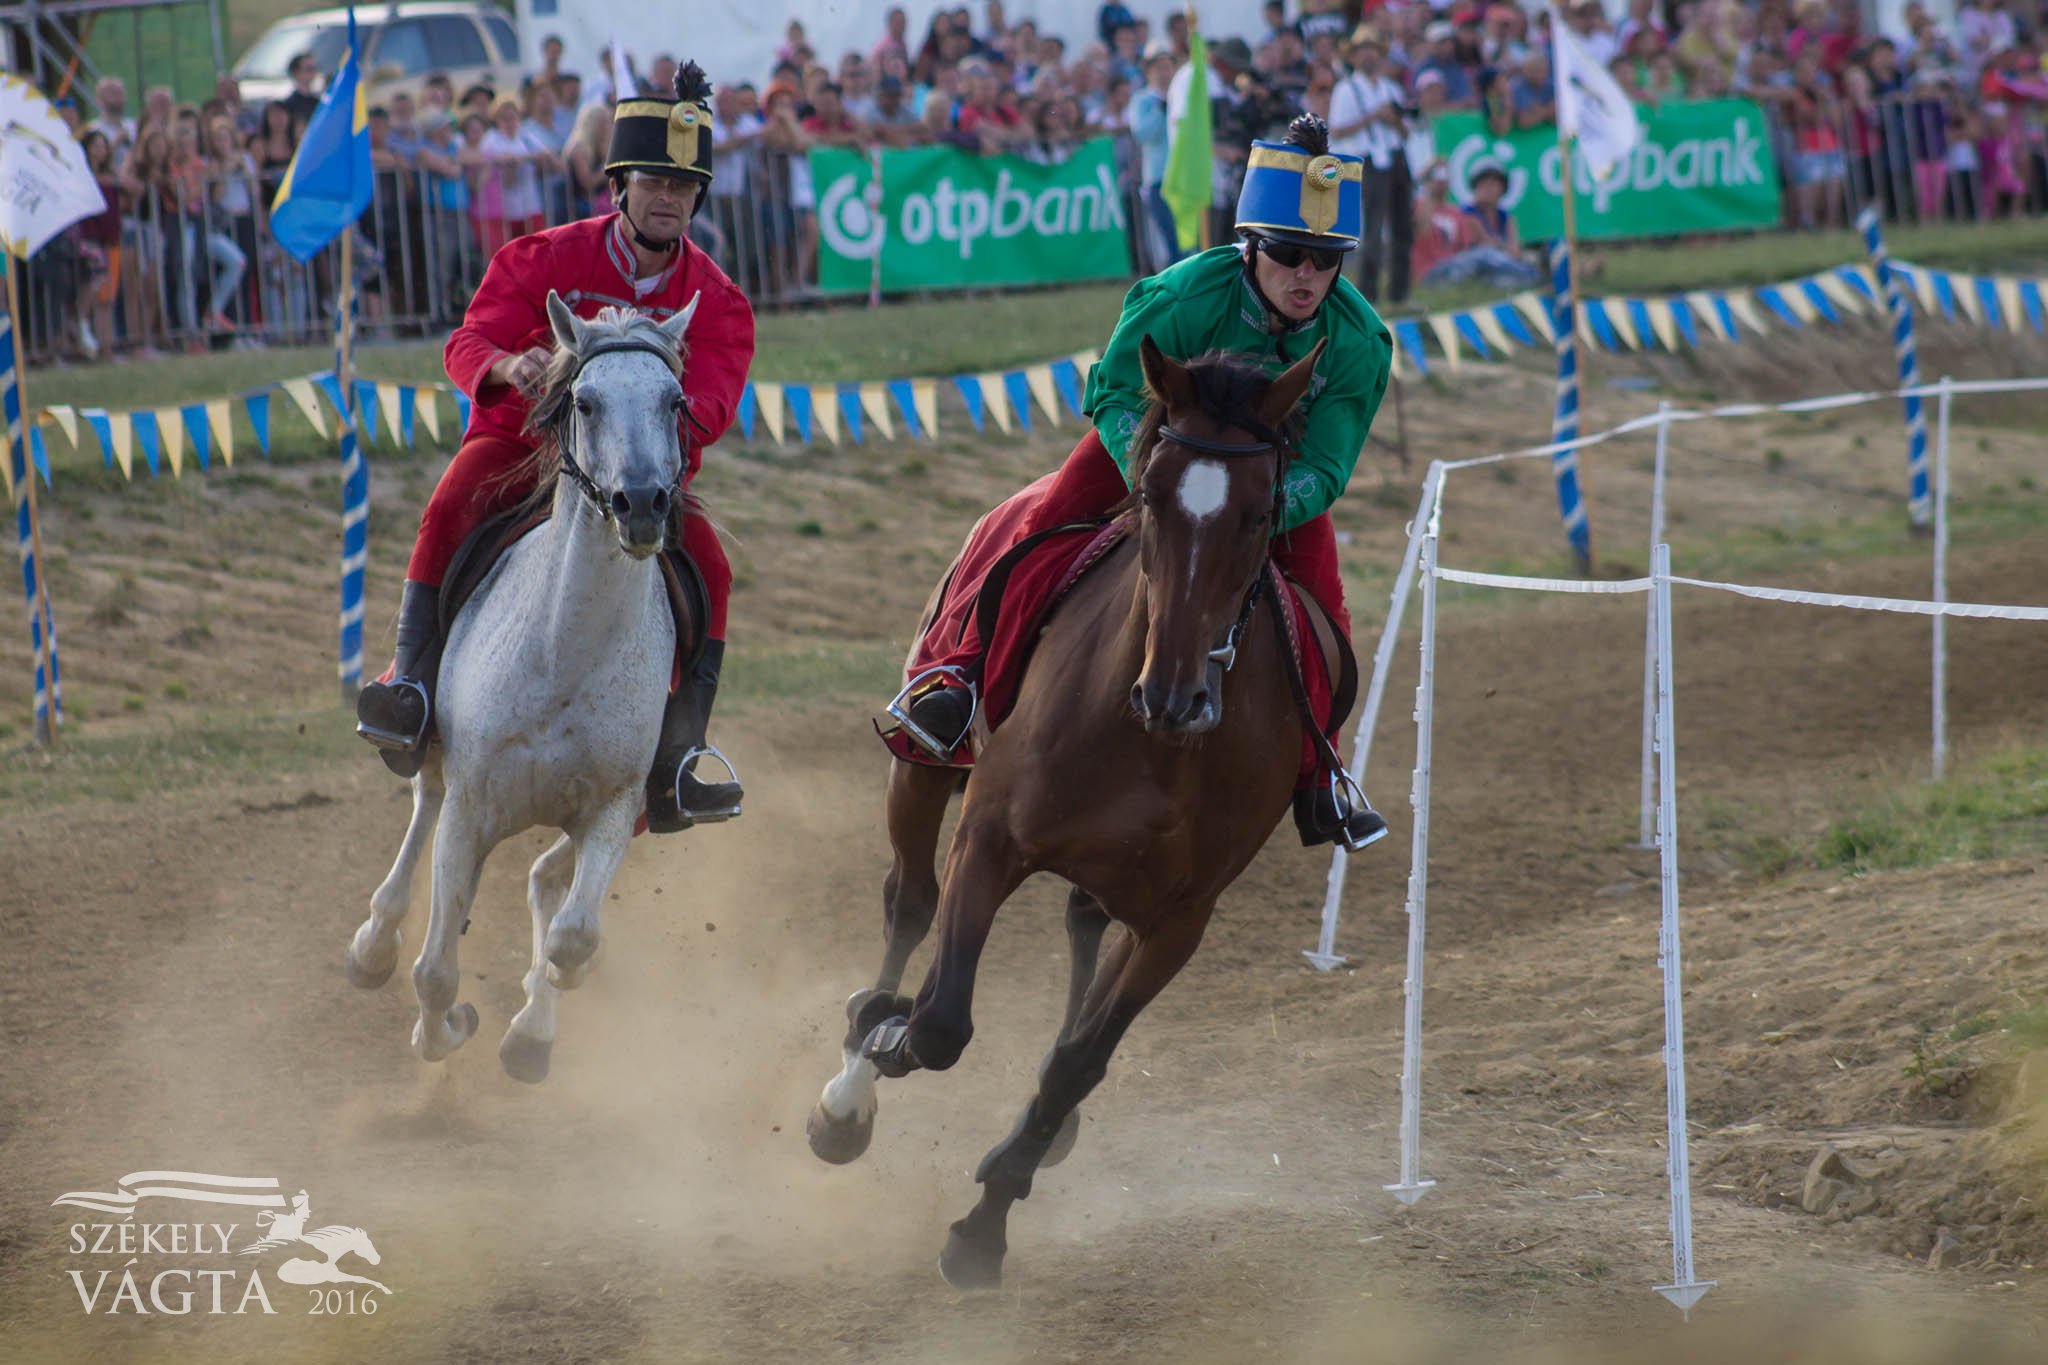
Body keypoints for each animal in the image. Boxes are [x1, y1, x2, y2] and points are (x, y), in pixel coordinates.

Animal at [348, 294, 700, 1080]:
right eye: (587, 402)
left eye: (675, 401)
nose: (641, 503)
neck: (564, 650)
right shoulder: (472, 809)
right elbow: (436, 970)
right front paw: (446, 1027)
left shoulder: (612, 809)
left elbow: (574, 936)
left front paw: (534, 1022)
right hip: (440, 763)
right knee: (424, 807)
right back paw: (375, 939)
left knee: (546, 883)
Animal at [806, 335, 1335, 1285]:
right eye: (1152, 496)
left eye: (1259, 513)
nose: (1175, 694)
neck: (1149, 738)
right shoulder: (988, 837)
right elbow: (940, 1021)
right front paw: (882, 1036)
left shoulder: (1180, 920)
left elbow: (1076, 1062)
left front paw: (985, 1223)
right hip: (924, 760)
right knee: (910, 901)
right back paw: (849, 1085)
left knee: (1078, 938)